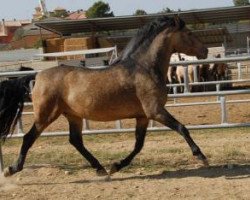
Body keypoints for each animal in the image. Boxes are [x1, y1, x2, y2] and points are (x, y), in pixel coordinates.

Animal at [0, 16, 207, 177]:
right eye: (189, 33)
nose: (204, 51)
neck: (144, 68)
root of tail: (37, 75)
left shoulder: (143, 116)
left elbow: (138, 144)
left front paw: (116, 166)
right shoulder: (155, 111)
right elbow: (181, 128)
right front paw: (201, 156)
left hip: (73, 116)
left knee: (75, 141)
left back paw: (100, 168)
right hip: (46, 115)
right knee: (29, 137)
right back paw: (11, 169)